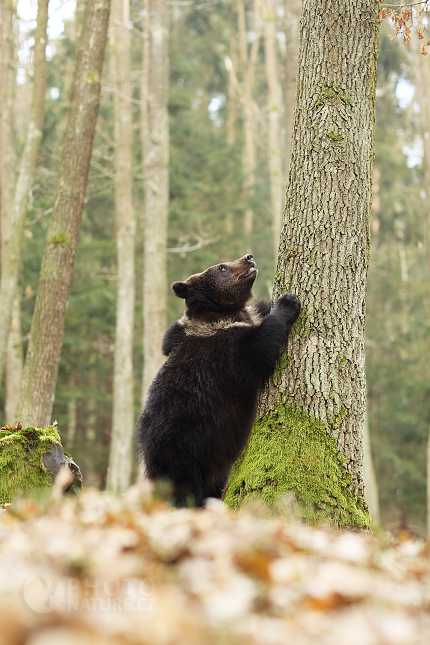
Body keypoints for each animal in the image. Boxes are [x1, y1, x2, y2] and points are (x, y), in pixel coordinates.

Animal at [136, 254, 300, 506]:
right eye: (222, 268)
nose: (248, 257)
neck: (224, 315)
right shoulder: (224, 354)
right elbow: (258, 349)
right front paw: (288, 302)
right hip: (184, 449)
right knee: (186, 493)